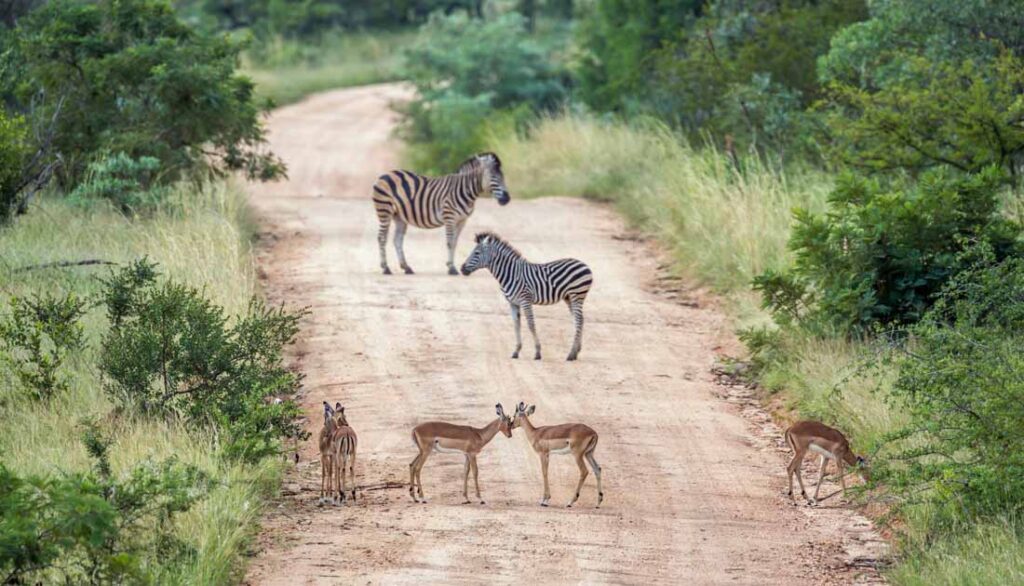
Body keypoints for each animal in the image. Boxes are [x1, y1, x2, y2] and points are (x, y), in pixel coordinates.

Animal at [370, 154, 509, 276]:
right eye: (494, 177)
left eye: (503, 177)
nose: (507, 199)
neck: (465, 191)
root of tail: (385, 174)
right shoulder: (449, 217)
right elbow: (449, 242)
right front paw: (451, 268)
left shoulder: (462, 220)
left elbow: (455, 242)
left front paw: (450, 265)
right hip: (384, 210)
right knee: (381, 238)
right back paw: (385, 268)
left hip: (399, 216)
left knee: (397, 239)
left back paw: (406, 267)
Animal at [462, 230, 598, 358]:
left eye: (477, 253)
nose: (462, 269)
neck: (510, 273)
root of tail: (585, 265)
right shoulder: (513, 303)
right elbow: (516, 325)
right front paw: (516, 351)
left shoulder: (525, 300)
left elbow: (531, 324)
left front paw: (537, 352)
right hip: (568, 297)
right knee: (579, 320)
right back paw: (576, 351)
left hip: (577, 295)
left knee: (579, 320)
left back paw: (571, 354)